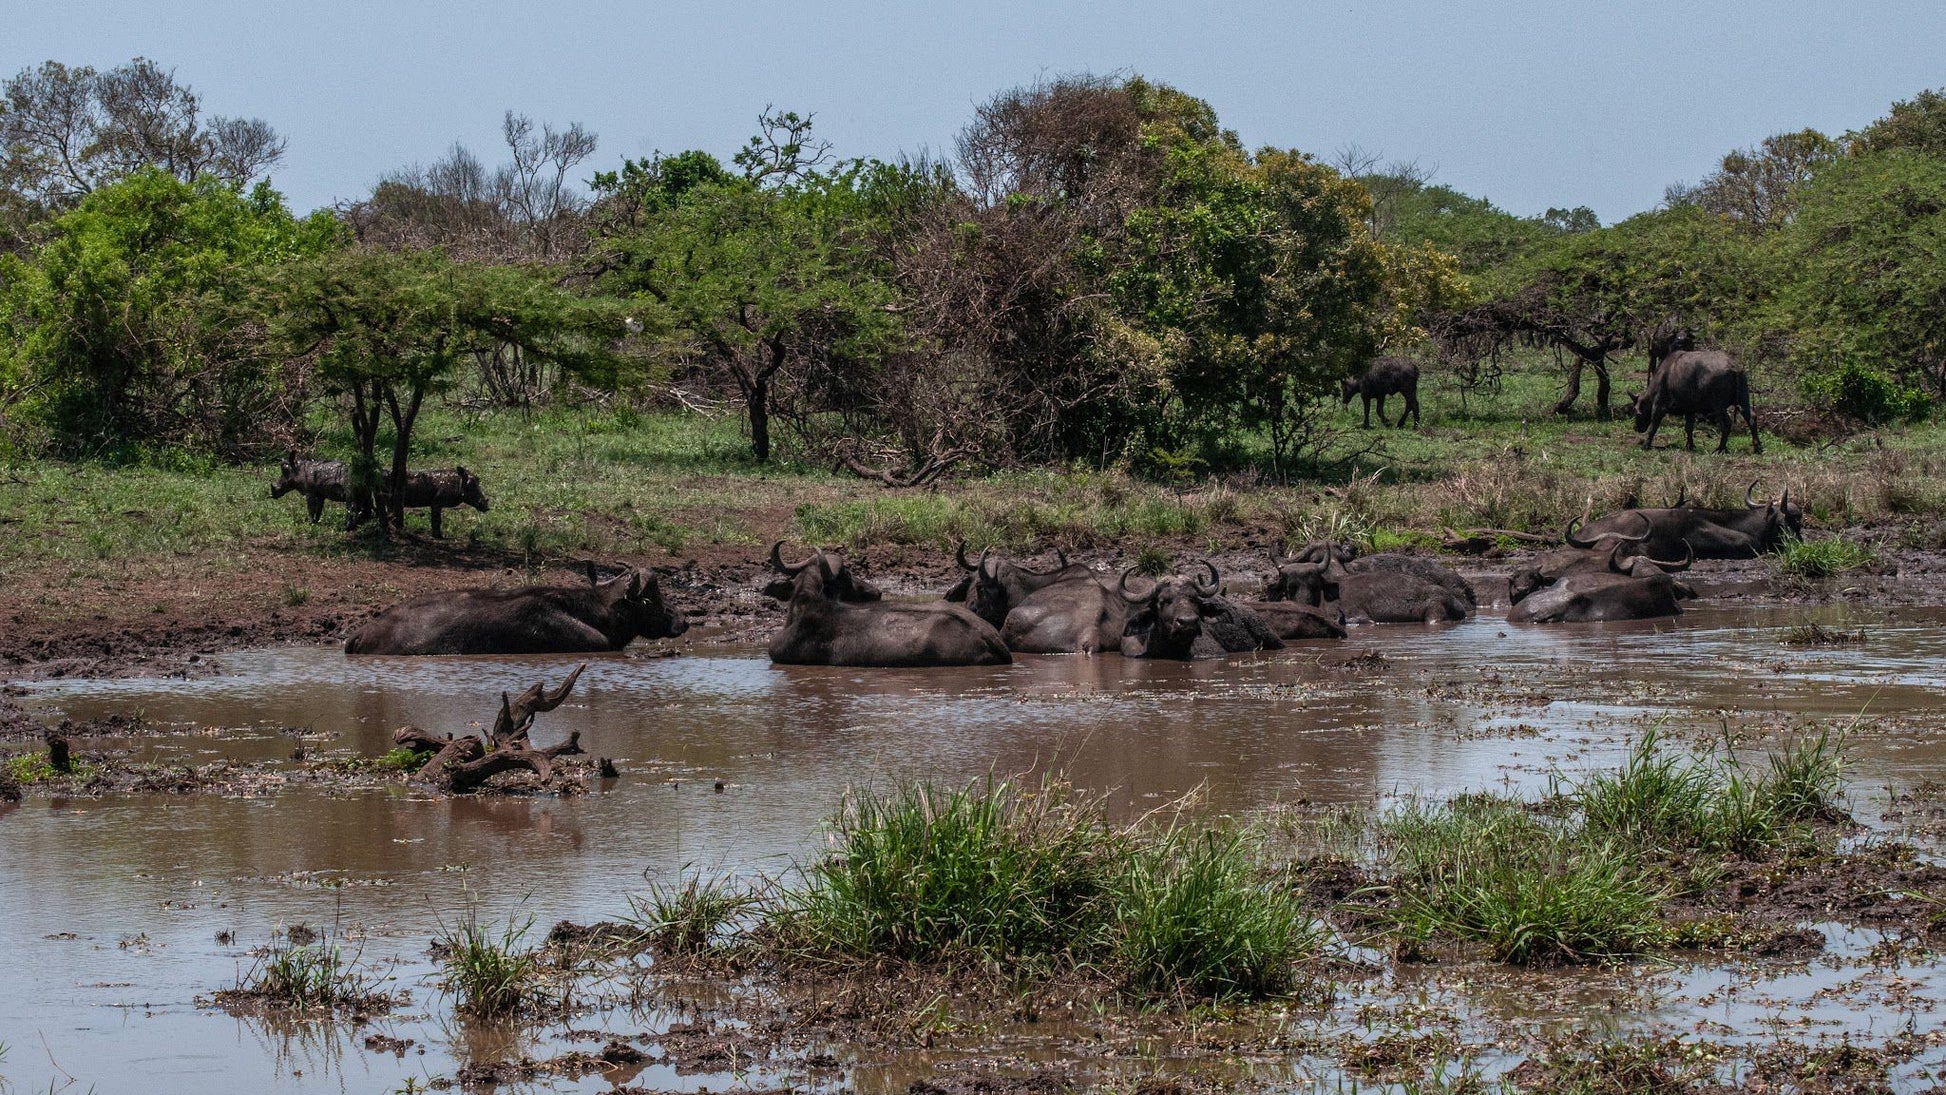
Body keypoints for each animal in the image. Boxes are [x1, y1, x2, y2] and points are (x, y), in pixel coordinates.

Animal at [1626, 352, 1766, 455]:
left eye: (1637, 412)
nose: (1636, 427)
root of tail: (1734, 368)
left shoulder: (1659, 407)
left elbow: (1652, 427)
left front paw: (1646, 445)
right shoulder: (1690, 410)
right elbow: (1689, 428)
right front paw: (1690, 445)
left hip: (1719, 406)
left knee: (1727, 424)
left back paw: (1720, 448)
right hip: (1743, 400)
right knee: (1752, 418)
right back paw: (1757, 447)